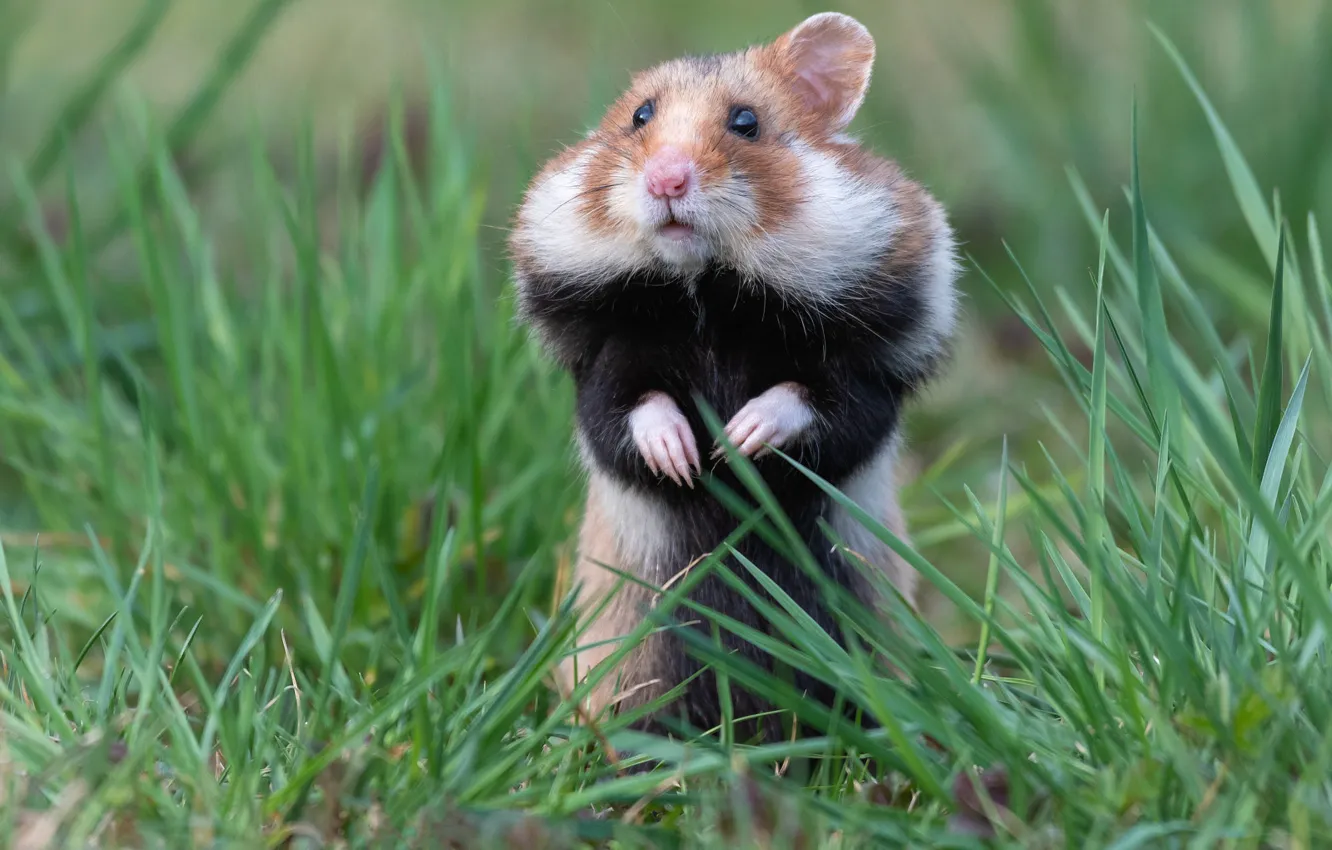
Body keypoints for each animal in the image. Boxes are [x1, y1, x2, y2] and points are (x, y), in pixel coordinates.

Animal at [508, 12, 961, 743]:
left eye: (746, 123)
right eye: (638, 117)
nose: (666, 180)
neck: (707, 294)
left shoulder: (865, 378)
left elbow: (820, 405)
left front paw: (737, 442)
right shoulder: (605, 367)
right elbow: (627, 412)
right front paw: (689, 457)